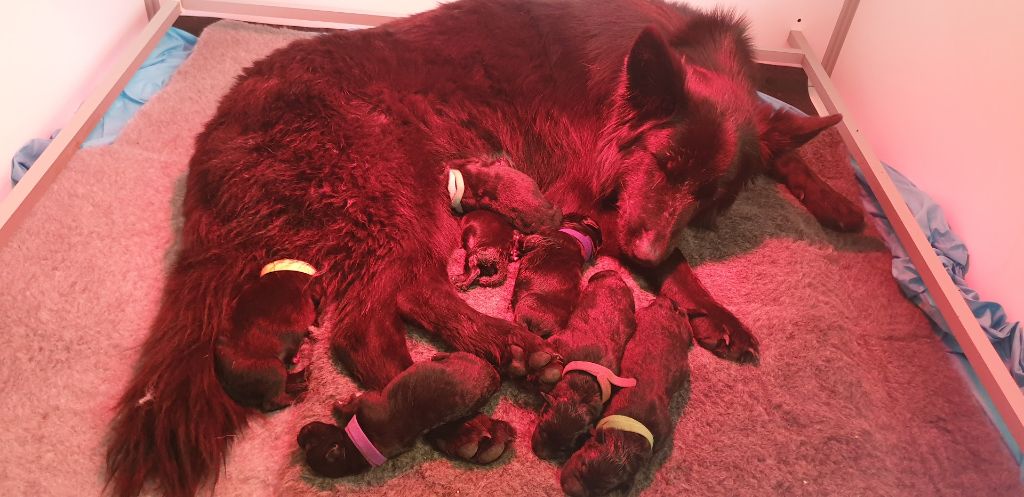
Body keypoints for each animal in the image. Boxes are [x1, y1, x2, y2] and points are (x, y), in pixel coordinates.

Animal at [296, 350, 503, 475]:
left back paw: (437, 355)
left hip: (462, 358)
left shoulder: (365, 403)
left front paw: (338, 404)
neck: (357, 450)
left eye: (309, 442)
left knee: (450, 355)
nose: (299, 434)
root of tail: (495, 377)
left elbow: (350, 406)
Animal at [532, 268, 634, 459]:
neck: (581, 387)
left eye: (563, 449)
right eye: (543, 430)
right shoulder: (560, 342)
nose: (540, 455)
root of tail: (613, 274)